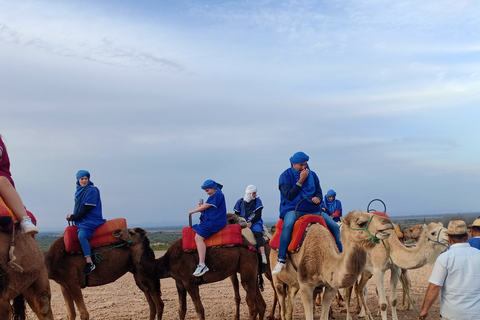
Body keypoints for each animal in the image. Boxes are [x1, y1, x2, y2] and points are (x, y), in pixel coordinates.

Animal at [113, 225, 266, 320]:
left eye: (131, 232)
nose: (115, 231)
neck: (167, 262)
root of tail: (252, 246)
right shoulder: (179, 282)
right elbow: (182, 309)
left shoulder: (189, 281)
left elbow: (200, 310)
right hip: (250, 271)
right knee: (259, 303)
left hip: (246, 265)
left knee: (252, 304)